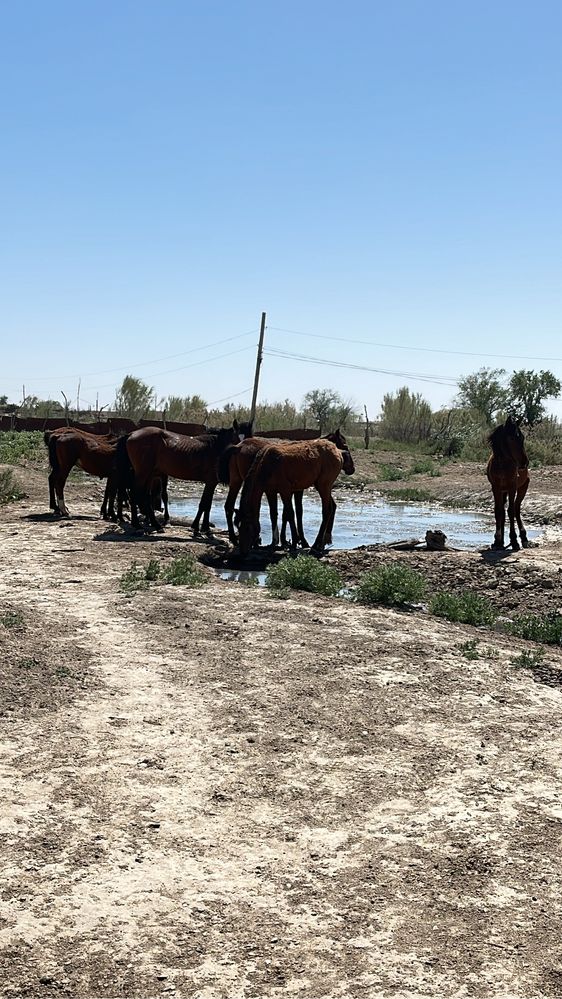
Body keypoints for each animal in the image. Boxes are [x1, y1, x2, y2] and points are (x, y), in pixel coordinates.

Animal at [484, 416, 528, 552]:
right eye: (512, 438)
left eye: (522, 438)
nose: (524, 462)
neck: (502, 464)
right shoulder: (496, 488)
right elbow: (499, 511)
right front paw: (498, 540)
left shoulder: (512, 487)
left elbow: (511, 511)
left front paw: (514, 541)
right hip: (503, 491)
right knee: (503, 512)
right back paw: (500, 541)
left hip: (523, 488)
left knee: (516, 509)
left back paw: (524, 538)